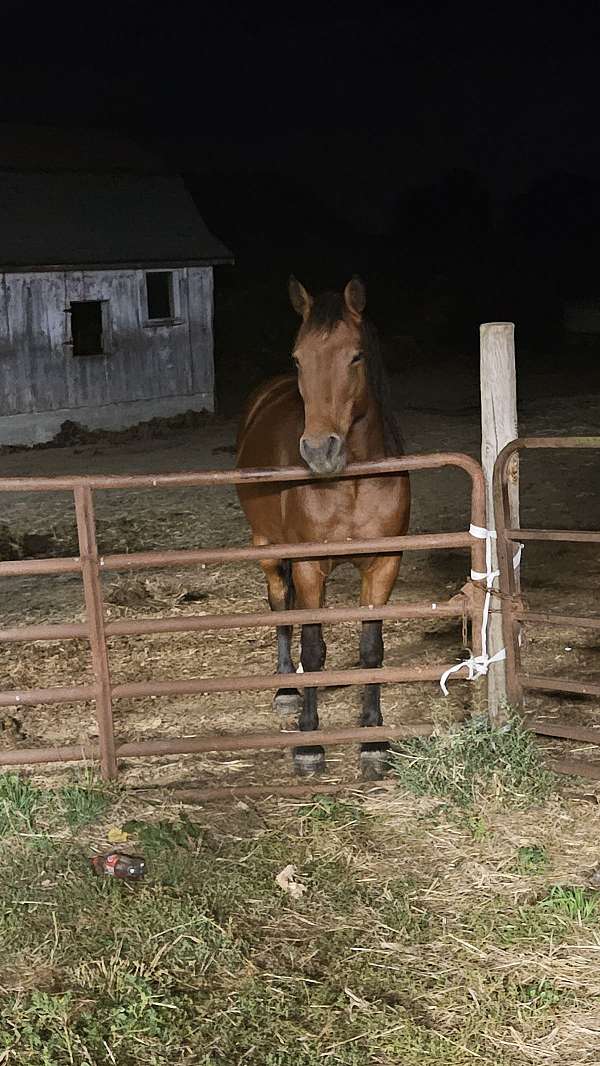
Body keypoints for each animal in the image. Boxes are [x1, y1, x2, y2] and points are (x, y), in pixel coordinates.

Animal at [236, 276, 411, 777]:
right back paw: (285, 689)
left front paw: (372, 741)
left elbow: (372, 649)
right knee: (280, 605)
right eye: (298, 358)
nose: (319, 451)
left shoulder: (383, 564)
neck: (349, 483)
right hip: (269, 549)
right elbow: (310, 649)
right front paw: (310, 745)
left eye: (356, 356)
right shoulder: (309, 564)